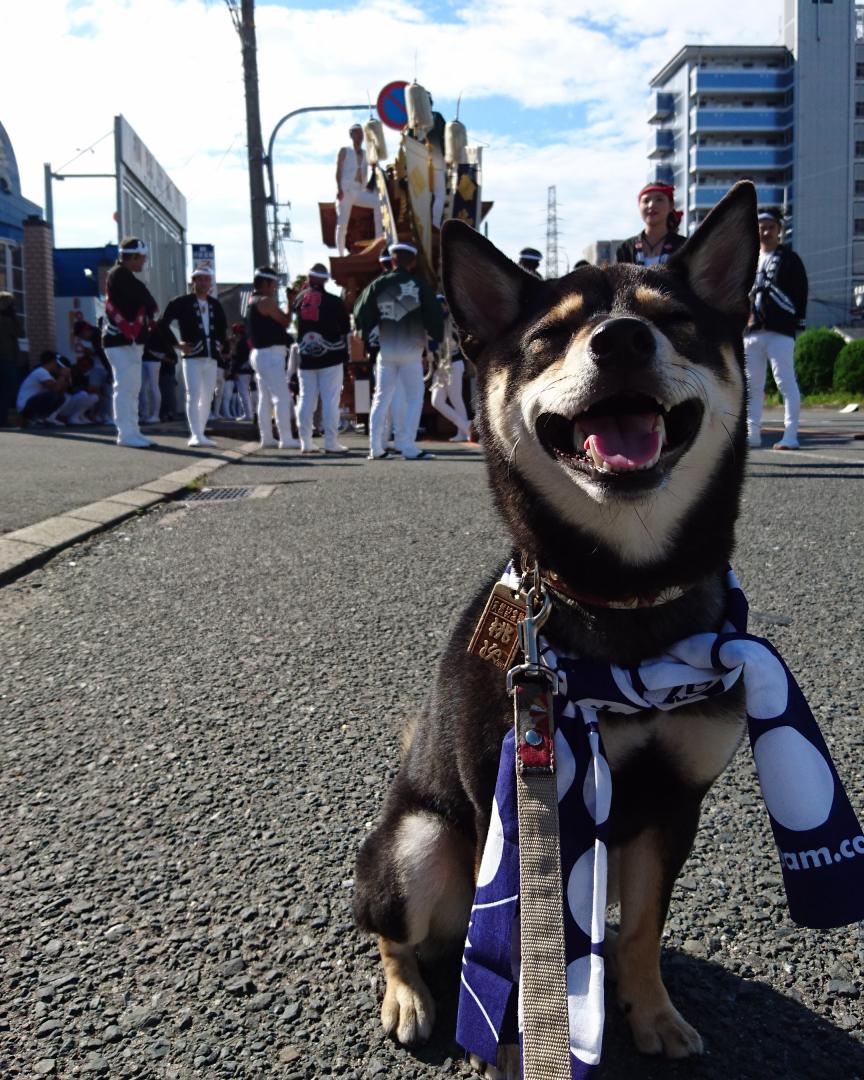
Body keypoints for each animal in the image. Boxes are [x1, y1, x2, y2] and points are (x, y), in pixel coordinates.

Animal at [354, 181, 760, 1075]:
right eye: (549, 336)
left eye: (674, 321)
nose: (622, 338)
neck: (619, 597)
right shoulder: (505, 801)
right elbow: (508, 935)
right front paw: (513, 1047)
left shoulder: (674, 801)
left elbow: (640, 929)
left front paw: (652, 1014)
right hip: (420, 843)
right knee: (395, 933)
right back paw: (410, 997)